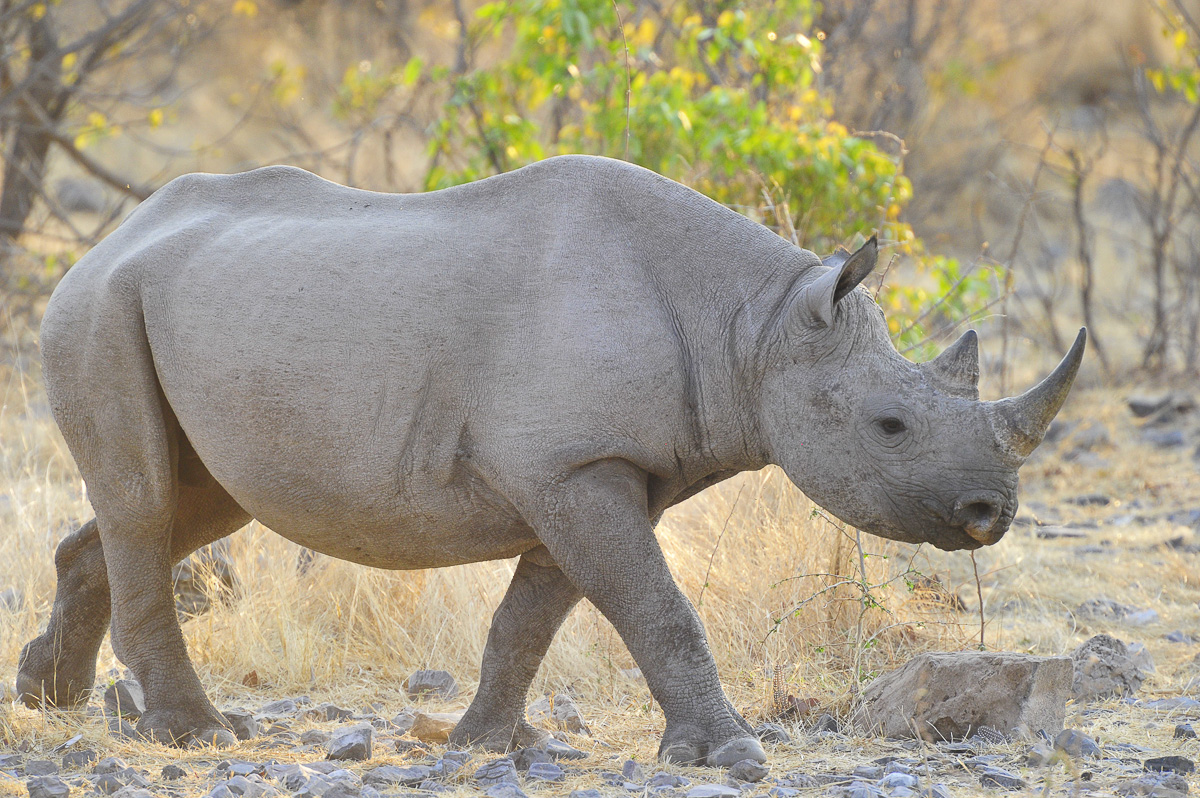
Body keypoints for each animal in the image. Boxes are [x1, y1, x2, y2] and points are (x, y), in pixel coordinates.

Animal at [17, 155, 1084, 765]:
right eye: (890, 427)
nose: (992, 513)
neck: (756, 325)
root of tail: (108, 238)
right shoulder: (574, 466)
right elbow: (655, 606)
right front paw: (731, 755)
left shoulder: (592, 472)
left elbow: (534, 614)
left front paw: (484, 743)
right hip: (99, 309)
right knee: (148, 503)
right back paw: (198, 736)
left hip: (176, 313)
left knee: (190, 503)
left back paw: (47, 700)